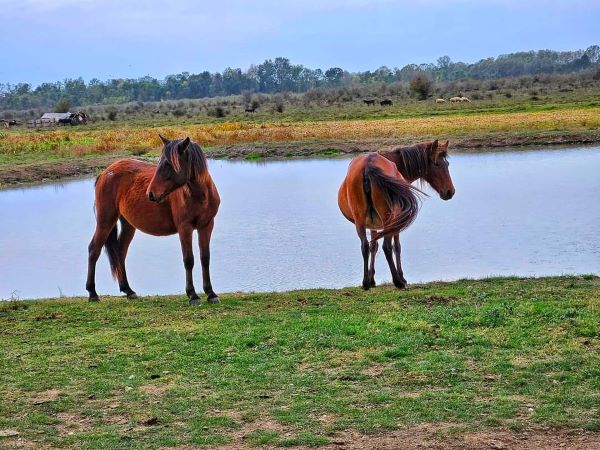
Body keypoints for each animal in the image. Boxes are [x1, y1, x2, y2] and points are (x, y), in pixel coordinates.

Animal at [86, 135, 220, 306]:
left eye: (169, 164)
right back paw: (92, 293)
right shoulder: (185, 228)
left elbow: (205, 258)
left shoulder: (206, 226)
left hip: (128, 225)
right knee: (94, 250)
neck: (199, 196)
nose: (151, 194)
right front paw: (193, 295)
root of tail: (105, 173)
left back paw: (128, 291)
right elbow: (188, 260)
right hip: (105, 221)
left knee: (120, 253)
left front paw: (210, 293)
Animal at [338, 139, 454, 290]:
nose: (450, 191)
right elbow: (397, 247)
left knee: (365, 246)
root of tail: (368, 166)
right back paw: (398, 281)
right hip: (388, 219)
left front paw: (371, 279)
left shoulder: (372, 223)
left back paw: (365, 283)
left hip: (360, 220)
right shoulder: (396, 223)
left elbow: (373, 246)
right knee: (387, 247)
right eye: (437, 164)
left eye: (447, 164)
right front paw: (402, 277)